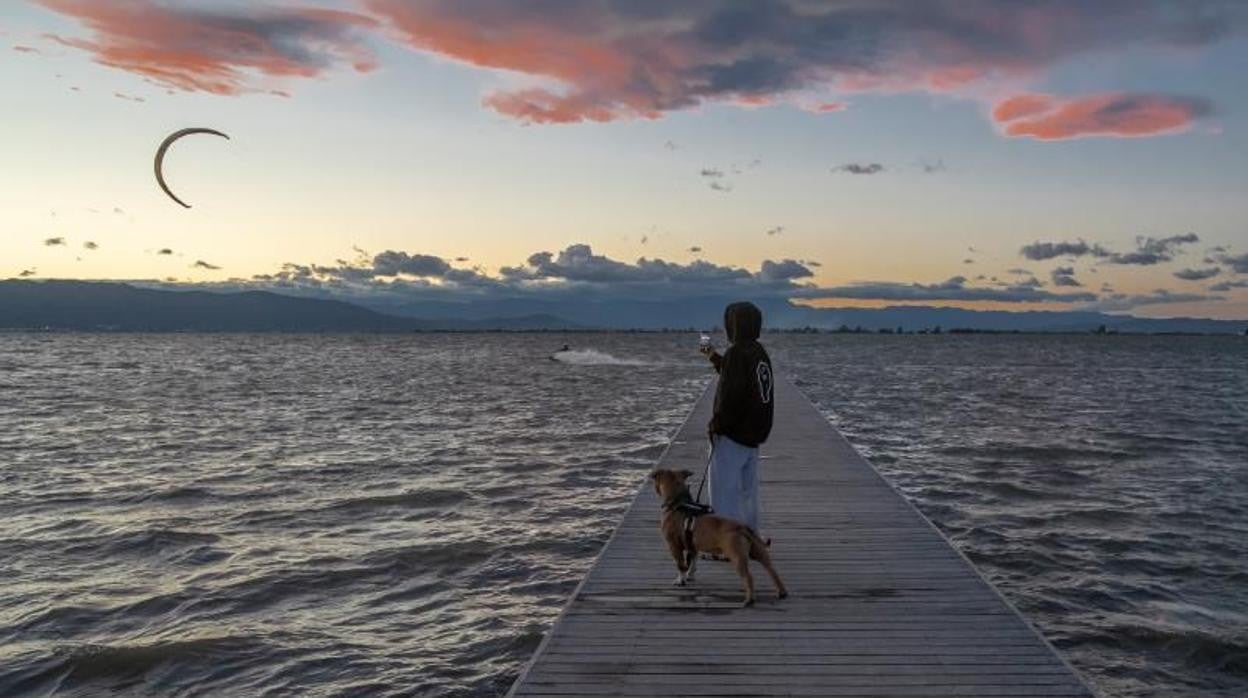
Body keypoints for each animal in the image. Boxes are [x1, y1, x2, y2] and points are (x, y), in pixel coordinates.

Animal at [648, 469, 783, 606]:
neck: (678, 501)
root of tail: (742, 527)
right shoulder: (693, 546)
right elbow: (692, 562)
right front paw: (690, 575)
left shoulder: (673, 546)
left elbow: (680, 565)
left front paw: (680, 580)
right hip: (759, 553)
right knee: (772, 571)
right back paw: (782, 592)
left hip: (737, 557)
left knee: (748, 577)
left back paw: (749, 600)